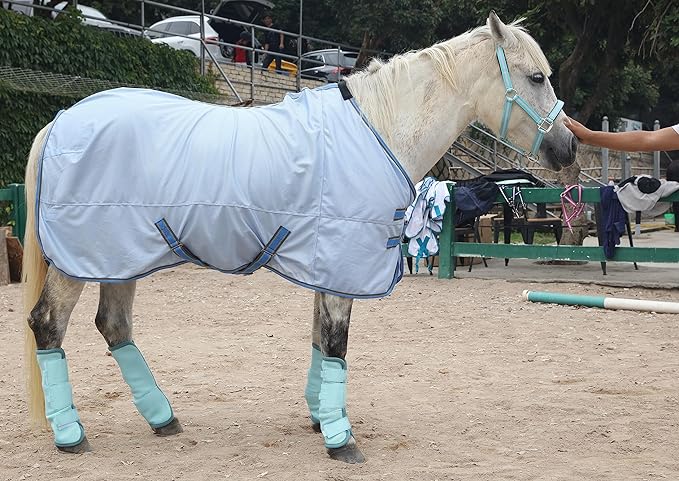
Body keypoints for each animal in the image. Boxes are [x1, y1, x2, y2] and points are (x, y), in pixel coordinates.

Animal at [22, 12, 577, 464]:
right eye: (536, 77)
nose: (568, 147)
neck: (378, 129)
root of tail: (61, 121)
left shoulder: (327, 265)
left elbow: (318, 342)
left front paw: (319, 417)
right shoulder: (342, 266)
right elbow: (336, 345)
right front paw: (340, 438)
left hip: (119, 258)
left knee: (114, 326)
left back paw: (163, 419)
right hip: (80, 261)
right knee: (48, 325)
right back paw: (71, 435)